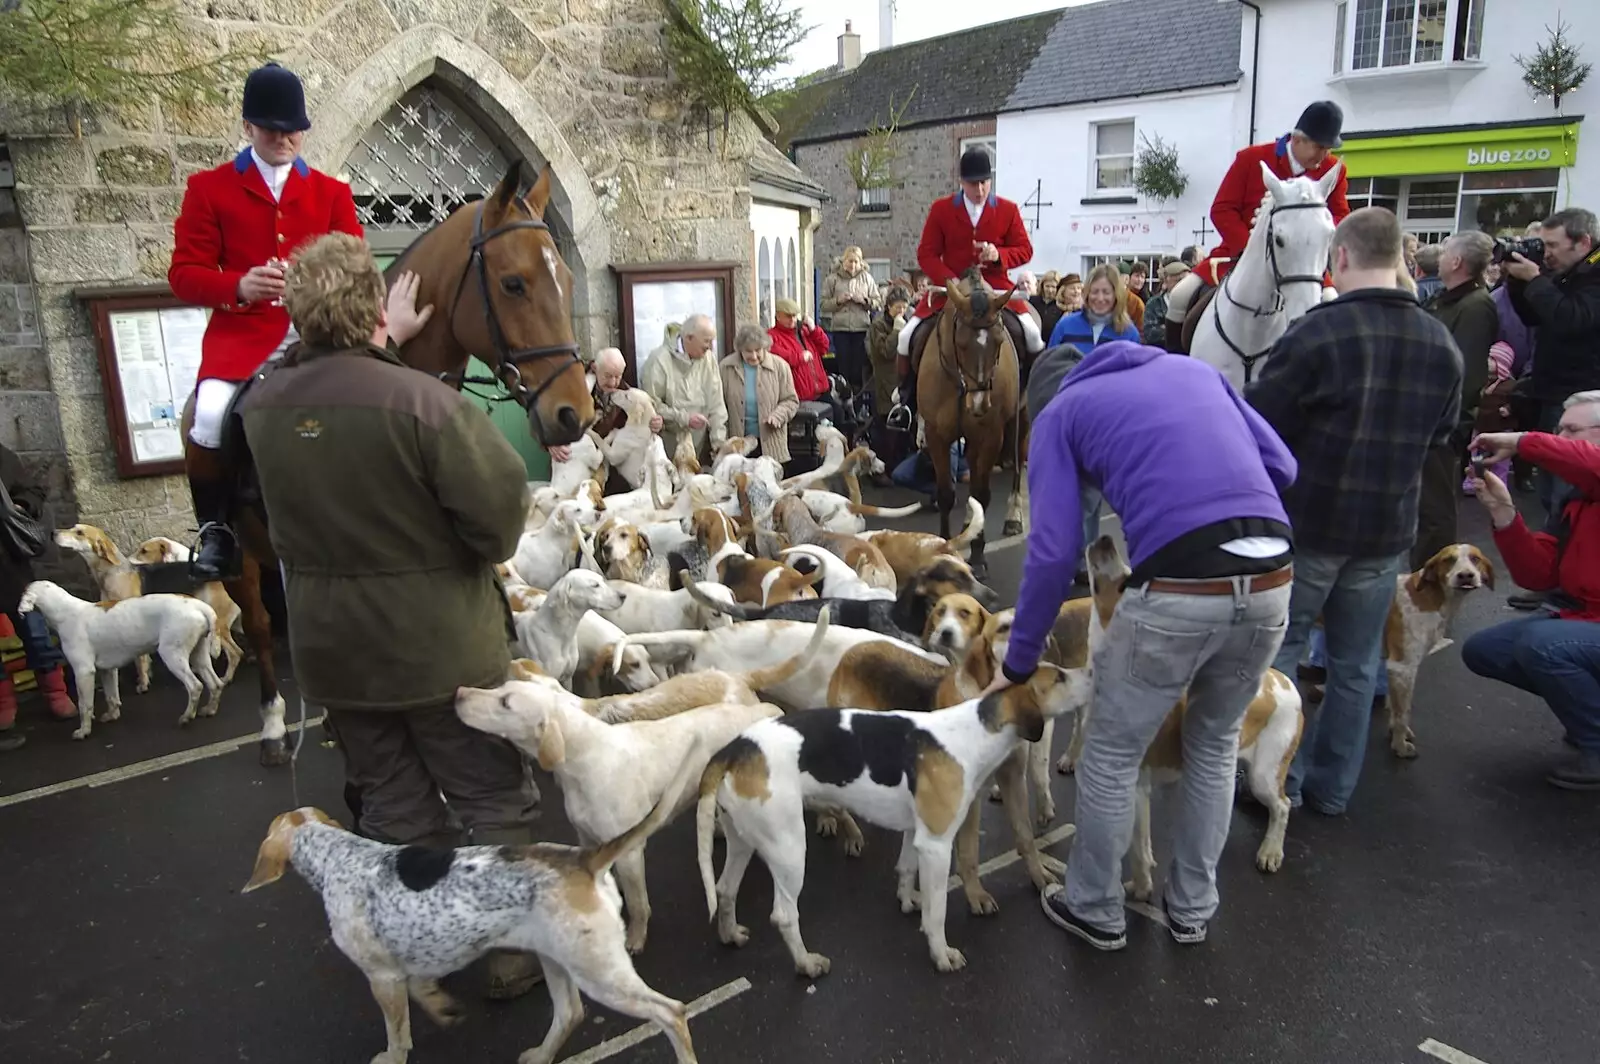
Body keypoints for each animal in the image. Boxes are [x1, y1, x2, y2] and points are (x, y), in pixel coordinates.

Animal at [180, 157, 595, 764]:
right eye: (513, 283)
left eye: (565, 279)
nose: (574, 414)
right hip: (243, 557)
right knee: (258, 626)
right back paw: (275, 724)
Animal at [921, 270, 1030, 576]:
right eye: (960, 343)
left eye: (999, 341)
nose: (979, 405)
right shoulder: (936, 434)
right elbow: (946, 494)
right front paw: (944, 546)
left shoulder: (991, 436)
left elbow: (982, 493)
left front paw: (979, 555)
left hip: (1019, 421)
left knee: (1019, 460)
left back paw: (1013, 515)